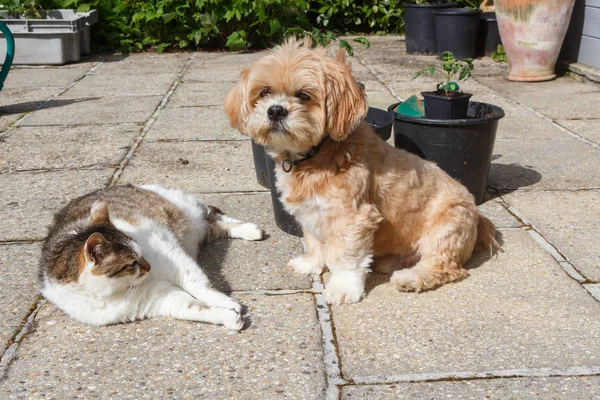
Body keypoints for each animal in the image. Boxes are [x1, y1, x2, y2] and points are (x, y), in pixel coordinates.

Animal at [38, 183, 262, 330]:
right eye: (132, 263)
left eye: (142, 253)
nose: (149, 267)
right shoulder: (158, 300)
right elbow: (194, 308)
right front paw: (228, 317)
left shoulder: (171, 254)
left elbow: (198, 285)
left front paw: (226, 302)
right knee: (214, 225)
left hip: (187, 211)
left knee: (213, 214)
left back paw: (252, 230)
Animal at [223, 39, 500, 304]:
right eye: (264, 91)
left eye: (303, 95)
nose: (275, 110)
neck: (316, 154)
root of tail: (478, 216)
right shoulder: (311, 213)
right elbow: (315, 243)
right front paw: (311, 264)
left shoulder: (352, 218)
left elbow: (345, 257)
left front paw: (344, 287)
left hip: (446, 227)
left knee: (445, 266)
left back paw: (410, 278)